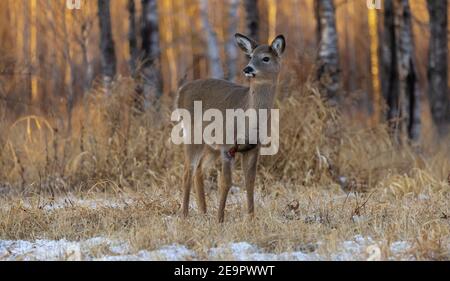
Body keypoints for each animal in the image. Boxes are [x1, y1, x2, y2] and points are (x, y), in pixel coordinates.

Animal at [176, 33, 284, 221]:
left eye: (266, 58)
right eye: (251, 56)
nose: (247, 69)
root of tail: (181, 90)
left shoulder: (253, 148)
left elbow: (250, 181)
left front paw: (251, 217)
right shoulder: (227, 146)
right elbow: (226, 182)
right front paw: (220, 219)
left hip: (211, 145)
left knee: (199, 169)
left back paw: (203, 210)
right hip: (193, 135)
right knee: (187, 170)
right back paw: (185, 214)